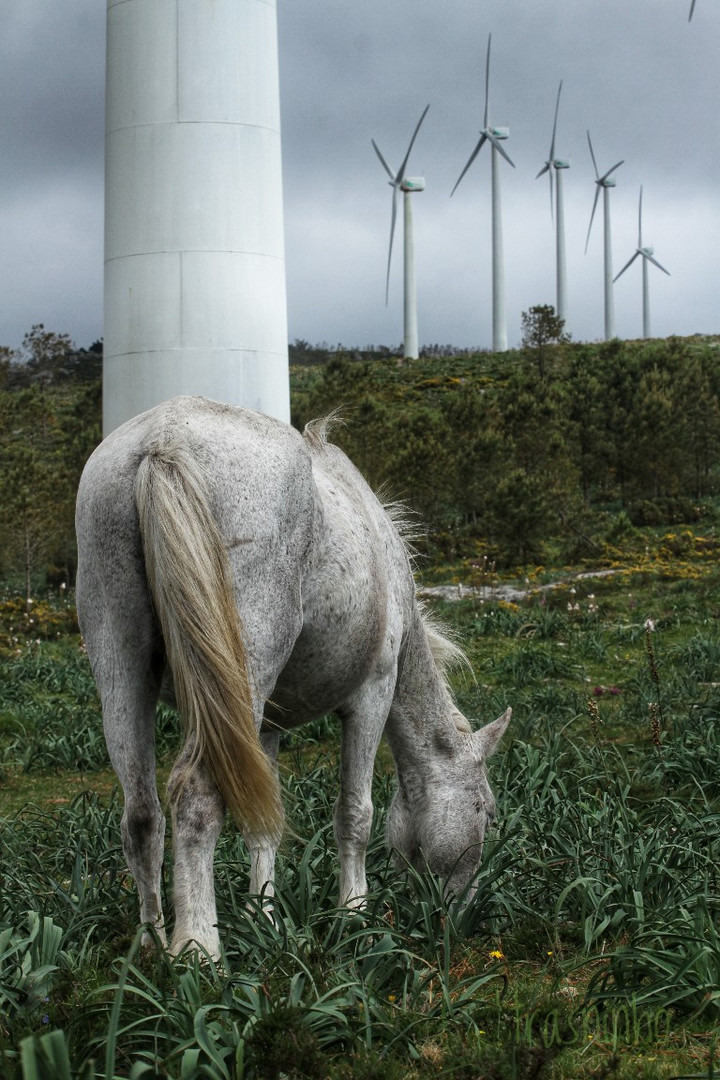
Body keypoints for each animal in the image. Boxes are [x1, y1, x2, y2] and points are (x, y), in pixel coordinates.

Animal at [76, 395, 509, 954]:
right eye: (487, 811)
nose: (459, 913)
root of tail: (163, 441)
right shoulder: (372, 696)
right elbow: (355, 814)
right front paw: (354, 914)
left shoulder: (263, 729)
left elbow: (265, 824)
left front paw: (265, 920)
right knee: (193, 797)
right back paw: (197, 948)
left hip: (123, 671)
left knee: (142, 814)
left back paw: (151, 943)